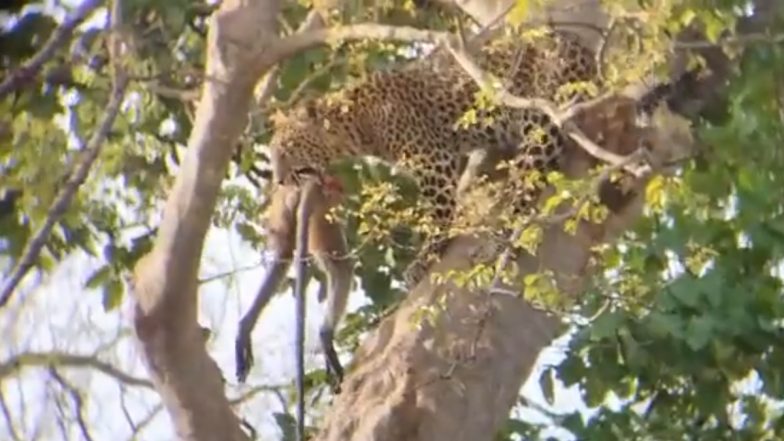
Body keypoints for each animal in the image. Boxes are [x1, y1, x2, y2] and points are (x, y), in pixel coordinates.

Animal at [270, 29, 600, 288]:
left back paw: (495, 245)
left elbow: (438, 217)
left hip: (541, 123)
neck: (356, 126)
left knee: (522, 194)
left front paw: (423, 260)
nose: (279, 180)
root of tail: (582, 51)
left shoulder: (432, 163)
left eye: (286, 149)